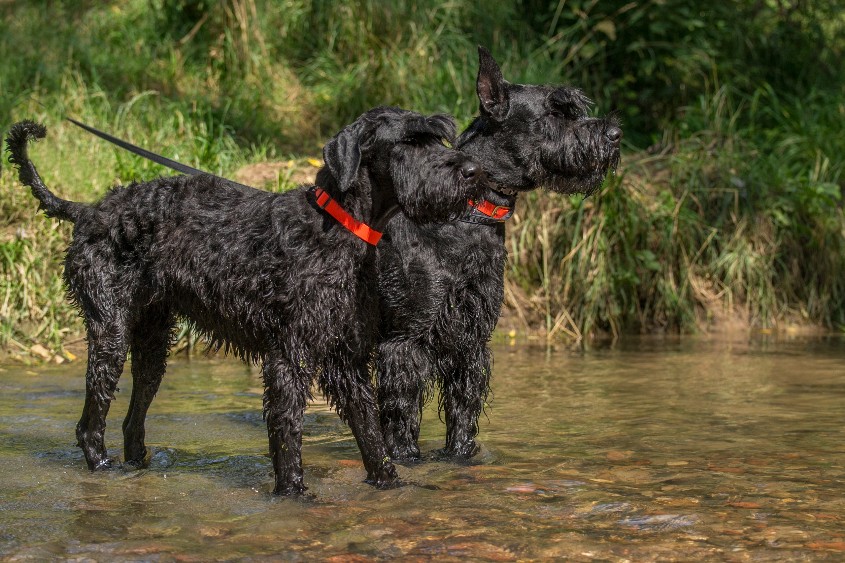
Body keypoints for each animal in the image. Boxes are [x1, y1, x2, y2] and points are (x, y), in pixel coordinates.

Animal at [5, 107, 484, 494]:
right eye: (409, 142)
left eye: (438, 138)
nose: (472, 170)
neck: (340, 227)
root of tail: (88, 211)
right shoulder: (290, 357)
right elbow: (288, 433)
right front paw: (292, 494)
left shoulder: (345, 358)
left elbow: (370, 431)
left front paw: (390, 485)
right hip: (110, 333)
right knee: (91, 424)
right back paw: (102, 469)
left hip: (152, 342)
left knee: (132, 418)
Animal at [376, 47, 622, 461]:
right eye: (555, 112)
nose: (616, 134)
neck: (466, 215)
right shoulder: (404, 344)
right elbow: (402, 418)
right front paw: (406, 459)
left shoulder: (471, 343)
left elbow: (463, 412)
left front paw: (459, 456)